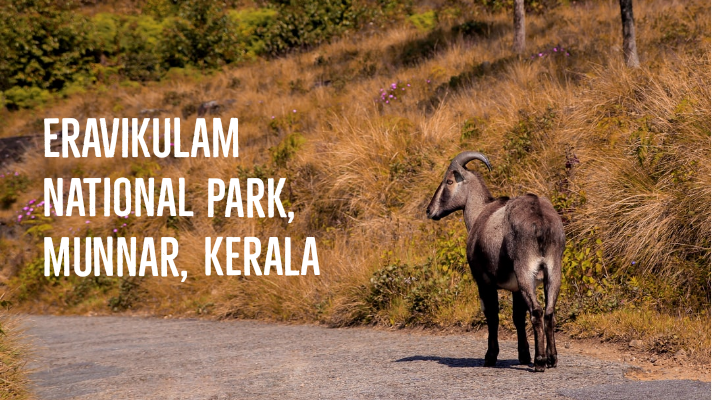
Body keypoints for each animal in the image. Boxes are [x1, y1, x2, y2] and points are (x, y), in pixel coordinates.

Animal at [426, 151, 564, 372]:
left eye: (449, 181)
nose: (430, 210)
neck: (481, 213)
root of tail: (541, 222)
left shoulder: (483, 281)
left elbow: (492, 315)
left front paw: (490, 357)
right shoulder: (516, 288)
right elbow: (517, 317)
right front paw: (523, 355)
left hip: (526, 270)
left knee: (536, 310)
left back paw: (540, 361)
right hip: (553, 270)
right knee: (549, 311)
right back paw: (552, 359)